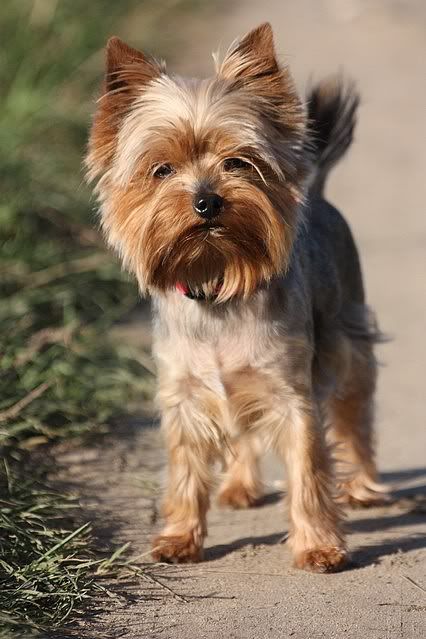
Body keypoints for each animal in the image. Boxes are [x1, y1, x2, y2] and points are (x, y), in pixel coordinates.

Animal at [86, 23, 388, 572]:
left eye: (237, 162)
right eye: (161, 169)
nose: (207, 201)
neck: (218, 282)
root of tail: (319, 194)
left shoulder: (291, 393)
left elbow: (308, 472)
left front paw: (318, 545)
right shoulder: (185, 394)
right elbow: (185, 471)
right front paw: (179, 537)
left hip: (348, 336)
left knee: (355, 414)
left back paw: (362, 487)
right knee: (244, 432)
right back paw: (241, 485)